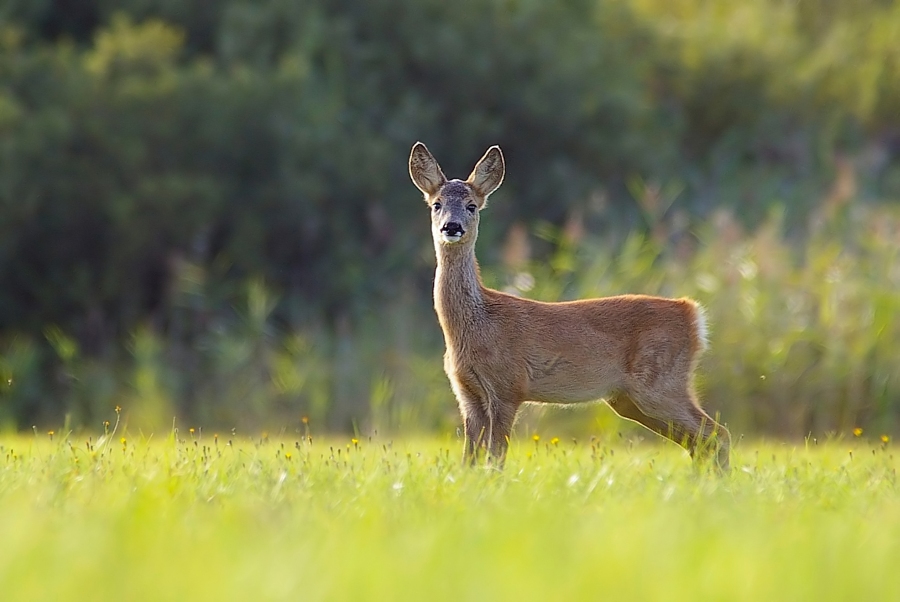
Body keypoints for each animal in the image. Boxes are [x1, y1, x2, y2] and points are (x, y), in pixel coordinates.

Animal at [408, 143, 732, 472]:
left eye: (472, 205)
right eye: (436, 204)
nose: (452, 227)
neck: (476, 324)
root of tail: (693, 314)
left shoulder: (508, 387)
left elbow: (495, 458)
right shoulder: (467, 393)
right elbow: (469, 461)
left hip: (660, 382)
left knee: (717, 433)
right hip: (629, 399)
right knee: (699, 441)